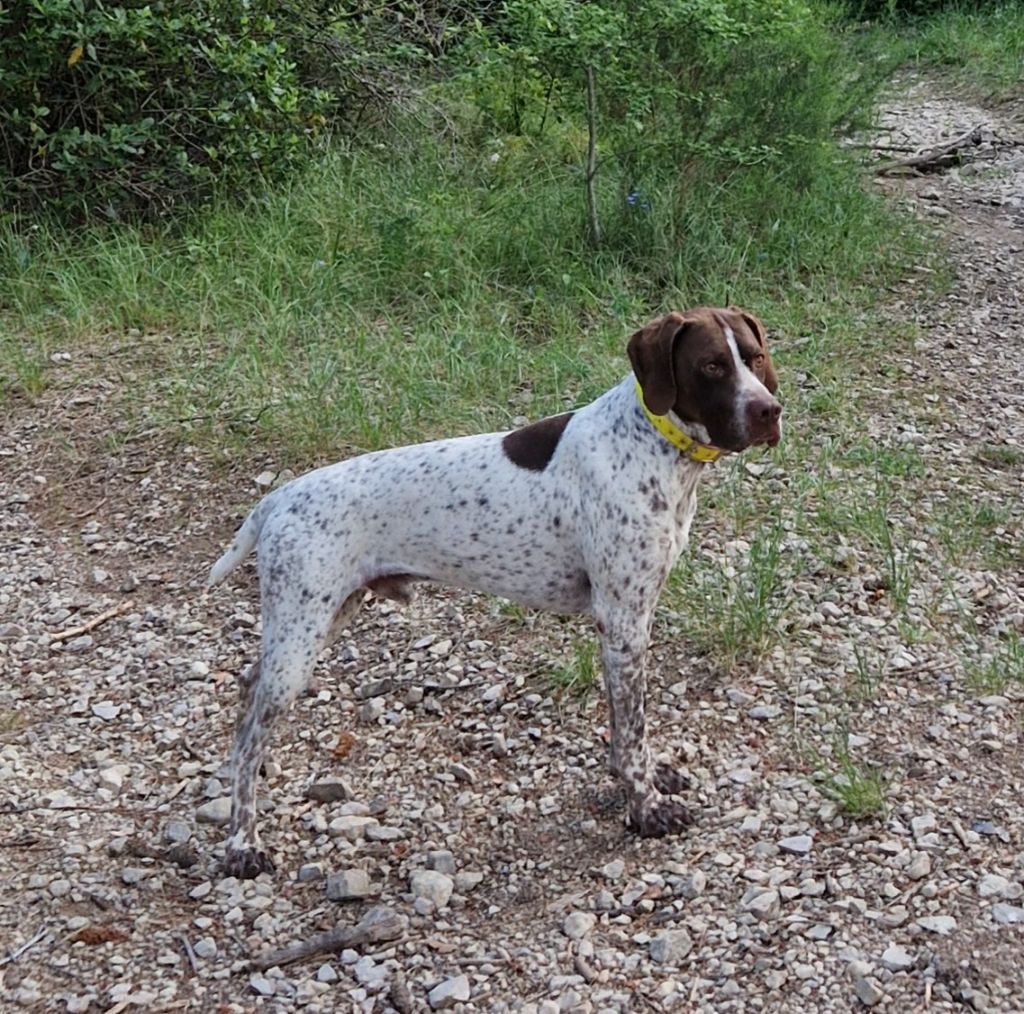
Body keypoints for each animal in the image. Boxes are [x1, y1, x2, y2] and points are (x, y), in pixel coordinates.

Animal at [209, 305, 782, 876]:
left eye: (754, 358)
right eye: (711, 366)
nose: (770, 412)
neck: (647, 440)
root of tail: (280, 499)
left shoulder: (626, 626)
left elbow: (626, 731)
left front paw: (642, 777)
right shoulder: (622, 621)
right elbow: (633, 729)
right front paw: (646, 808)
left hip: (319, 620)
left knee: (247, 689)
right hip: (299, 640)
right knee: (248, 740)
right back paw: (242, 842)